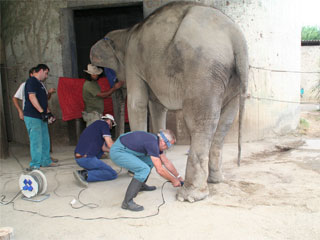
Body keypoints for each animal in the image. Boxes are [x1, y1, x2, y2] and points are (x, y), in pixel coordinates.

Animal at [90, 1, 250, 202]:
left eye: (109, 75)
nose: (115, 137)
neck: (126, 32)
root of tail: (236, 36)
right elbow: (158, 107)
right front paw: (160, 154)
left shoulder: (133, 62)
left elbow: (137, 104)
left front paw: (133, 169)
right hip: (231, 77)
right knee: (226, 120)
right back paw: (215, 180)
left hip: (203, 71)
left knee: (200, 121)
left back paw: (189, 195)